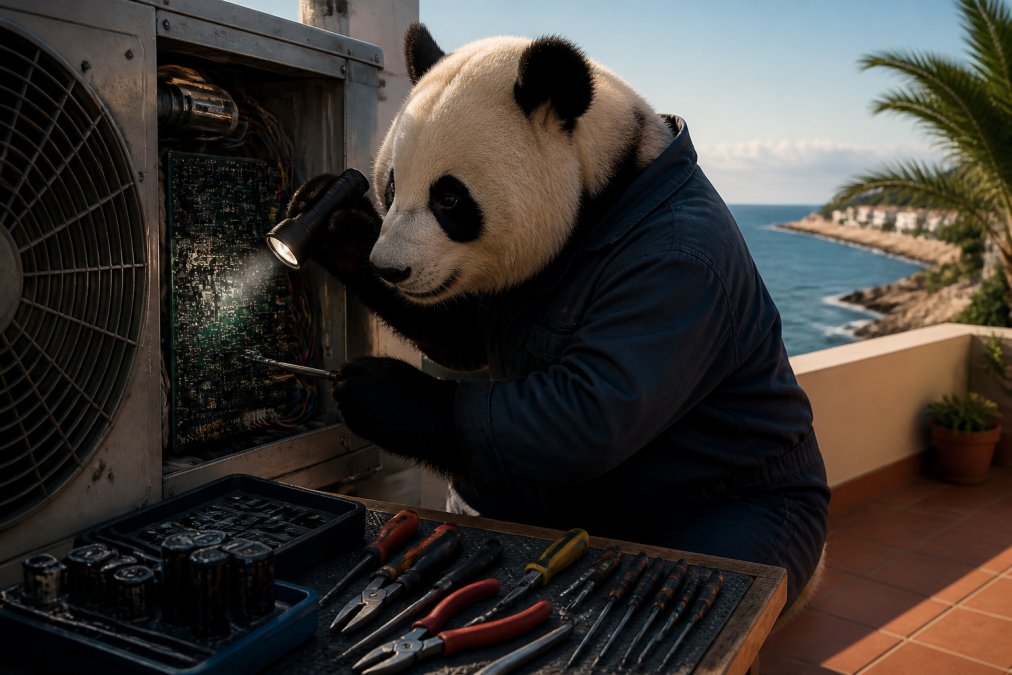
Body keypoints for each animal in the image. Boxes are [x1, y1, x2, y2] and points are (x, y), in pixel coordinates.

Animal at [288, 23, 830, 612]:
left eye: (449, 199)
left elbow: (589, 414)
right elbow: (460, 339)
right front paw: (334, 221)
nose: (391, 269)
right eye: (389, 187)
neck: (612, 188)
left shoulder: (677, 275)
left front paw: (375, 391)